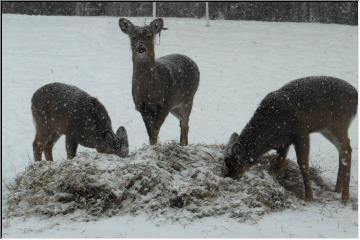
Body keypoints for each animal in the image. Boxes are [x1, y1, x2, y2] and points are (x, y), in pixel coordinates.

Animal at [119, 17, 200, 145]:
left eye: (149, 35)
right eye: (133, 36)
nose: (141, 48)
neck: (149, 91)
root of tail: (193, 62)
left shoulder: (165, 104)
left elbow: (155, 130)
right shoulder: (142, 107)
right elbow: (150, 133)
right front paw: (153, 145)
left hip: (188, 99)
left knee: (185, 123)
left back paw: (183, 145)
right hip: (175, 106)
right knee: (183, 124)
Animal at [225, 76, 358, 203]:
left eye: (234, 163)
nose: (229, 176)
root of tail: (356, 95)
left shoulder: (301, 132)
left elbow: (303, 163)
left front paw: (309, 197)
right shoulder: (284, 142)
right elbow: (279, 163)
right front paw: (279, 181)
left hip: (338, 123)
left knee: (346, 149)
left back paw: (344, 197)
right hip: (326, 129)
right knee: (343, 149)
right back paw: (337, 190)